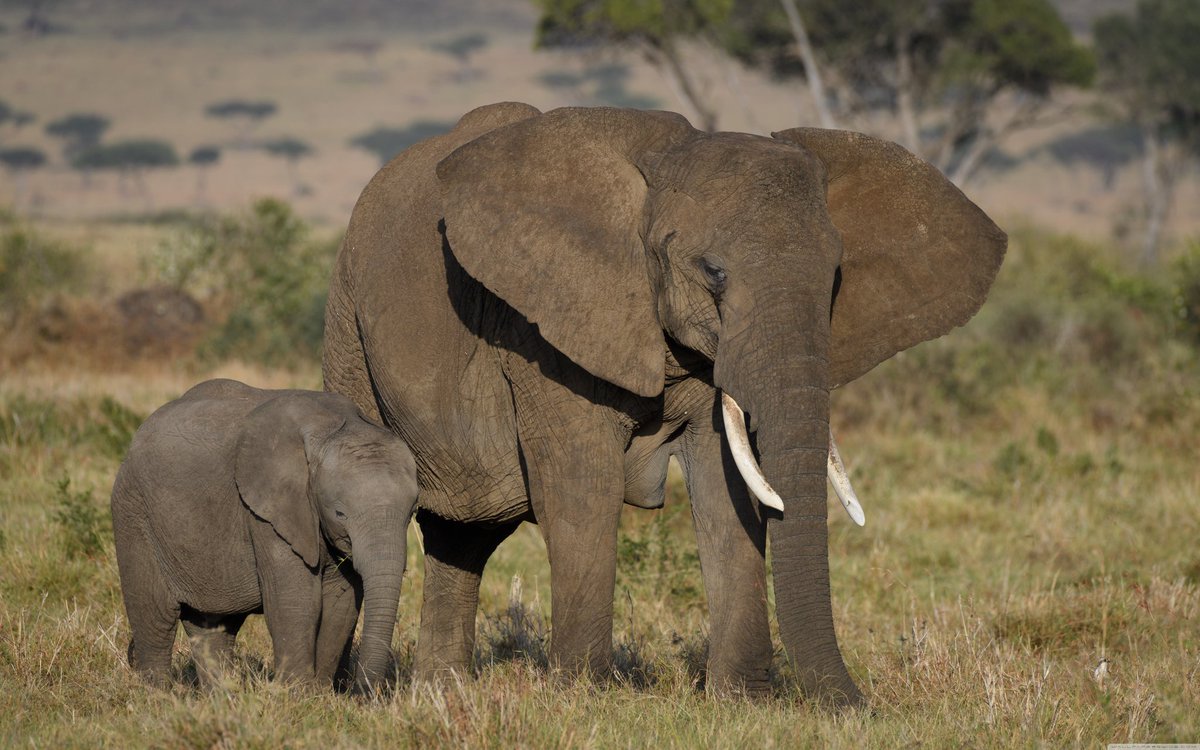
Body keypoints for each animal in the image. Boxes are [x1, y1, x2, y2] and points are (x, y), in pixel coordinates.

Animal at [112, 379, 420, 691]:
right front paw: (298, 695)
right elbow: (296, 602)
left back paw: (222, 697)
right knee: (155, 617)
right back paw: (159, 695)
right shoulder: (268, 513)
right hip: (134, 514)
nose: (361, 693)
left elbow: (340, 604)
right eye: (340, 514)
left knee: (212, 625)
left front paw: (320, 695)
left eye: (411, 513)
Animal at [321, 102, 1003, 705]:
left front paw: (742, 702)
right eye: (713, 272)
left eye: (835, 278)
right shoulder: (543, 331)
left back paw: (437, 695)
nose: (859, 706)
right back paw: (349, 691)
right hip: (348, 325)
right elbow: (581, 488)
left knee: (461, 536)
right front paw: (586, 698)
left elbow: (727, 490)